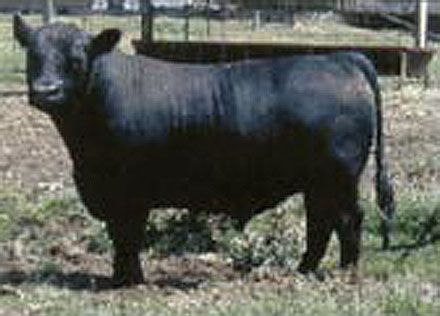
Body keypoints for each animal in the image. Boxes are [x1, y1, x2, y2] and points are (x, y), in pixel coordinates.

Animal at [13, 14, 394, 286]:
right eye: (33, 55)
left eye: (77, 58)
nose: (46, 91)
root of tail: (339, 58)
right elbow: (118, 235)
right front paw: (120, 277)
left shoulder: (131, 190)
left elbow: (128, 235)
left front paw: (129, 280)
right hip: (318, 183)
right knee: (321, 222)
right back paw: (303, 270)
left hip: (339, 176)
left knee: (347, 220)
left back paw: (344, 274)